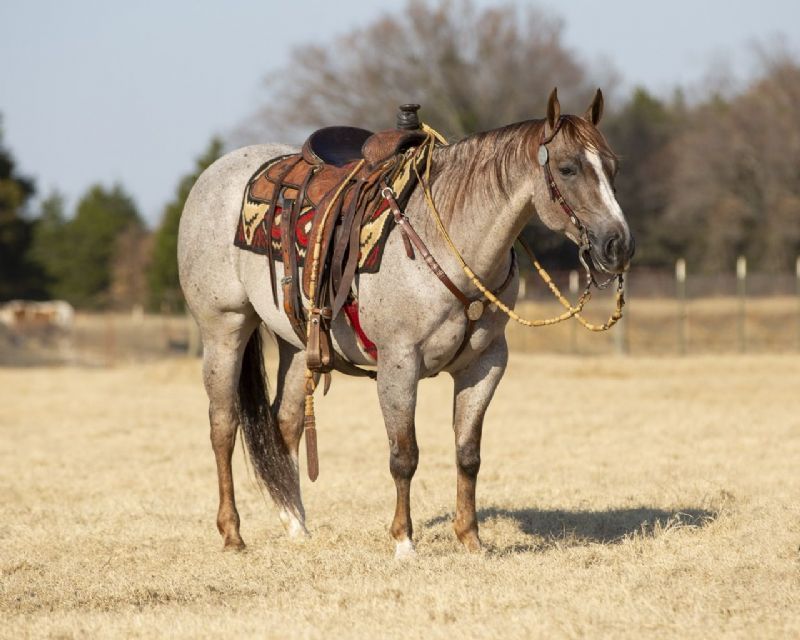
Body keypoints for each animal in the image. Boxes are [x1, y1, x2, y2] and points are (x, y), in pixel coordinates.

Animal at [178, 88, 633, 557]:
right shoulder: (399, 363)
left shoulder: (486, 364)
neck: (447, 237)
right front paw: (403, 541)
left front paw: (470, 538)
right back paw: (232, 534)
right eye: (568, 167)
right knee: (223, 425)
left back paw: (296, 525)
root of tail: (213, 175)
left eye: (613, 166)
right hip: (224, 328)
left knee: (283, 423)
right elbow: (404, 455)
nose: (618, 245)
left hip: (296, 342)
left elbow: (468, 452)